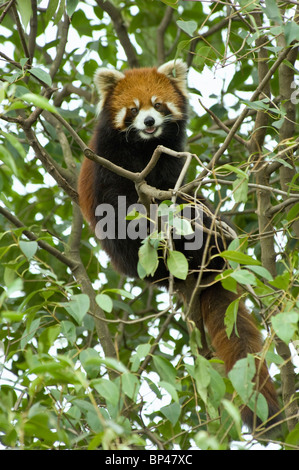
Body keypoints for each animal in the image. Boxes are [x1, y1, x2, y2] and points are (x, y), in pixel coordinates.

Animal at [78, 60, 282, 432]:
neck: (144, 149)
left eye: (158, 105)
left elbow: (179, 190)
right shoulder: (107, 163)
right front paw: (145, 218)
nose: (148, 123)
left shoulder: (171, 161)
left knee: (200, 212)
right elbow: (119, 205)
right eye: (133, 109)